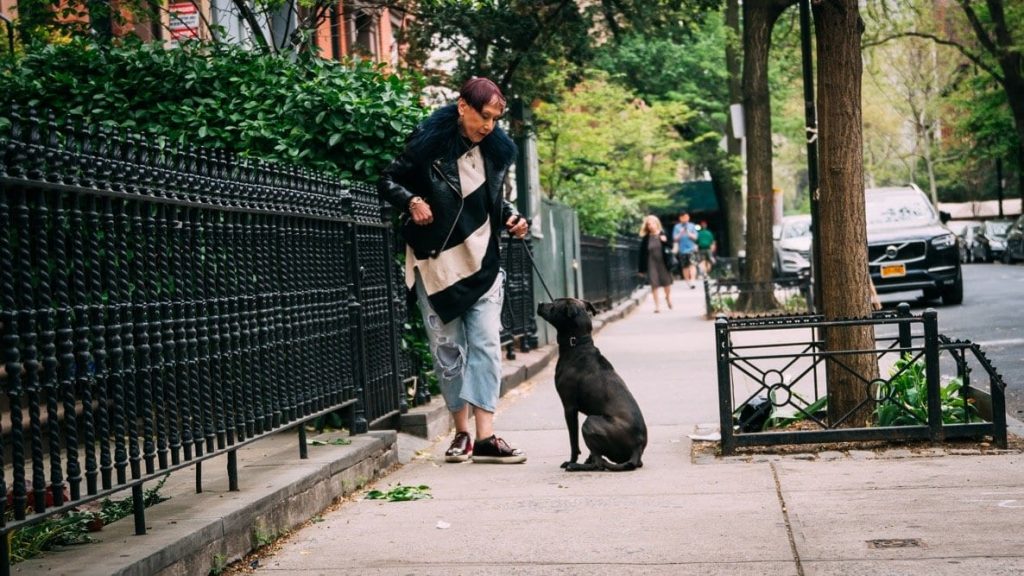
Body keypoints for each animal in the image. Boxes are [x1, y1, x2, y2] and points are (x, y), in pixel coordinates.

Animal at [536, 297, 647, 469]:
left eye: (554, 305)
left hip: (590, 422)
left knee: (599, 463)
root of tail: (638, 448)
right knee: (597, 457)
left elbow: (573, 442)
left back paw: (575, 466)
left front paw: (571, 460)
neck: (578, 344)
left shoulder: (569, 407)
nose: (540, 303)